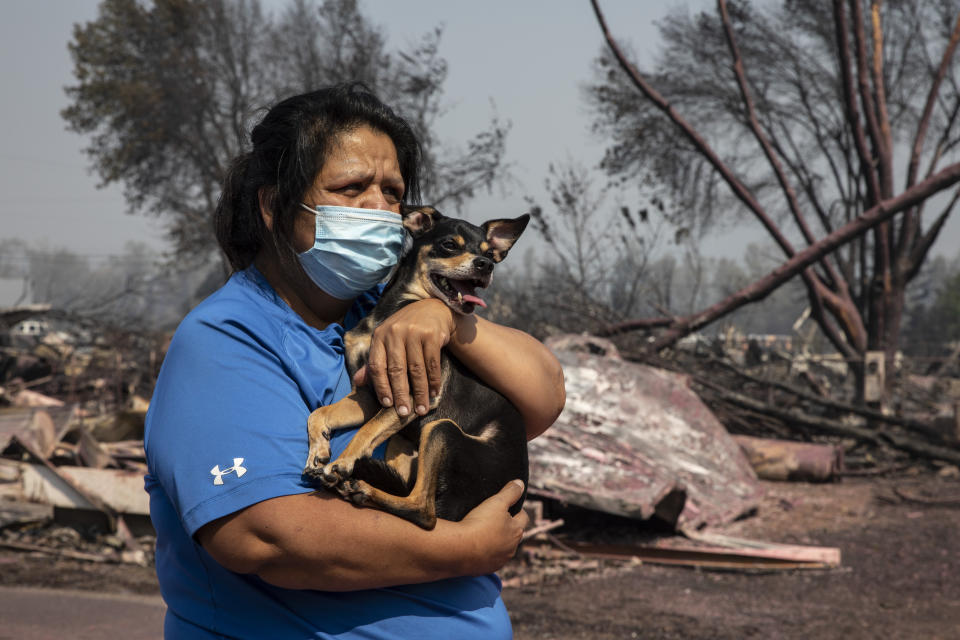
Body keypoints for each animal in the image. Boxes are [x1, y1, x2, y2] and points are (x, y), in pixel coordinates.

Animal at [304, 206, 528, 528]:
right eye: (449, 244)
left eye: (489, 253)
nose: (485, 265)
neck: (391, 312)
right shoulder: (371, 396)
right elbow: (320, 414)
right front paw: (318, 452)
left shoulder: (411, 395)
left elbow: (365, 431)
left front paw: (342, 462)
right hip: (405, 441)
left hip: (440, 429)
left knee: (423, 510)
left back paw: (364, 489)